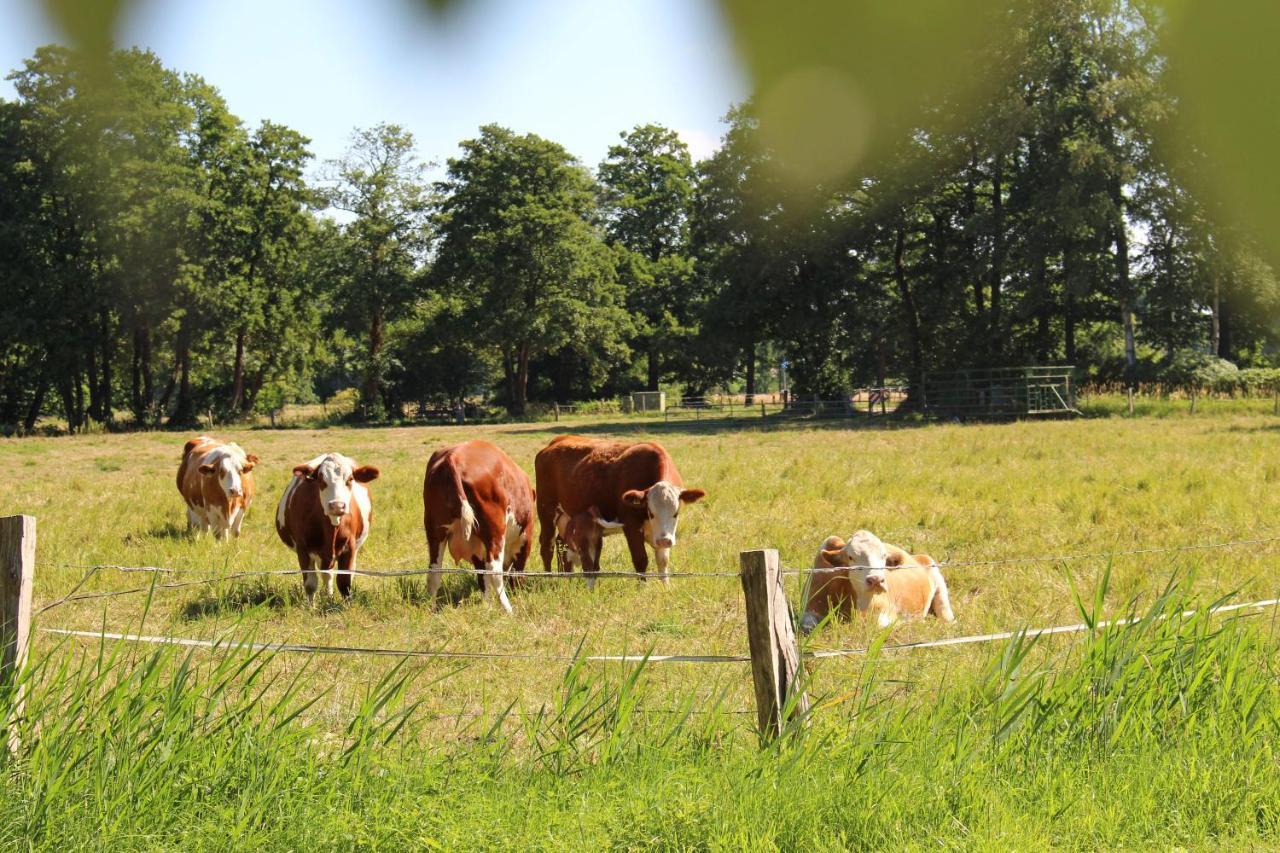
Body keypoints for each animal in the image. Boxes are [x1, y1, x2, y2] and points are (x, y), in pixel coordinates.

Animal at [276, 448, 378, 601]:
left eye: (350, 479)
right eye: (321, 479)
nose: (337, 505)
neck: (331, 527)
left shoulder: (350, 548)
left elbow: (345, 583)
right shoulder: (303, 549)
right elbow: (310, 584)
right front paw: (311, 606)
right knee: (326, 576)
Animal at [424, 438, 535, 612]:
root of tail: (453, 457)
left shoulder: (477, 548)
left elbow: (482, 577)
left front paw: (486, 605)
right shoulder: (525, 537)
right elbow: (516, 571)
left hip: (435, 532)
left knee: (434, 571)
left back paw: (432, 608)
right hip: (495, 531)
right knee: (495, 571)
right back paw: (508, 609)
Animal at [532, 432, 706, 584]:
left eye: (676, 513)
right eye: (651, 512)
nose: (665, 540)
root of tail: (557, 441)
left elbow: (663, 561)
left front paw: (665, 588)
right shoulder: (631, 526)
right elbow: (640, 559)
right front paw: (642, 587)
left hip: (567, 518)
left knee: (562, 544)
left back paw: (567, 579)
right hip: (547, 510)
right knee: (547, 546)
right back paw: (549, 579)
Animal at [803, 527, 957, 627]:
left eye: (883, 555)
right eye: (851, 557)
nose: (876, 580)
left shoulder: (886, 610)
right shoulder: (809, 608)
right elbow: (807, 625)